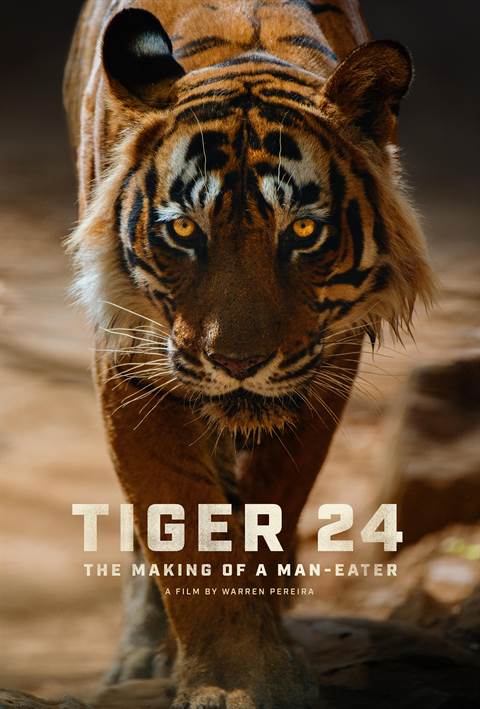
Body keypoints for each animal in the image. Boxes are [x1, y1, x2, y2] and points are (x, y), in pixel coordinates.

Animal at [64, 1, 434, 707]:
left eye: (304, 231)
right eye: (184, 229)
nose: (237, 364)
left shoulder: (325, 370)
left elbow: (269, 511)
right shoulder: (130, 361)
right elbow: (180, 519)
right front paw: (233, 680)